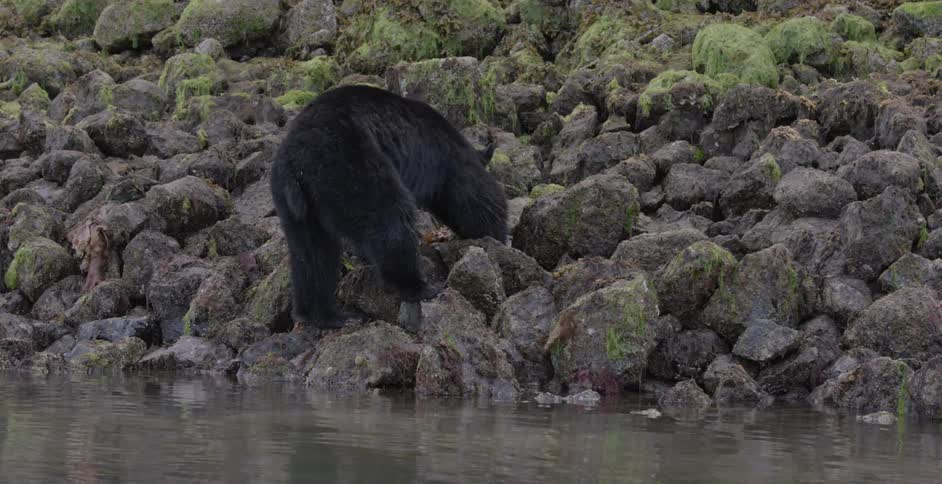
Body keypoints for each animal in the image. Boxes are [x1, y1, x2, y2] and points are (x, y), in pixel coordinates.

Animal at [270, 85, 508, 330]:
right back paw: (419, 286)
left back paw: (327, 315)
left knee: (312, 252)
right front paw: (495, 236)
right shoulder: (448, 160)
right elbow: (474, 199)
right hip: (354, 167)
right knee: (390, 218)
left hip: (296, 206)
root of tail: (297, 166)